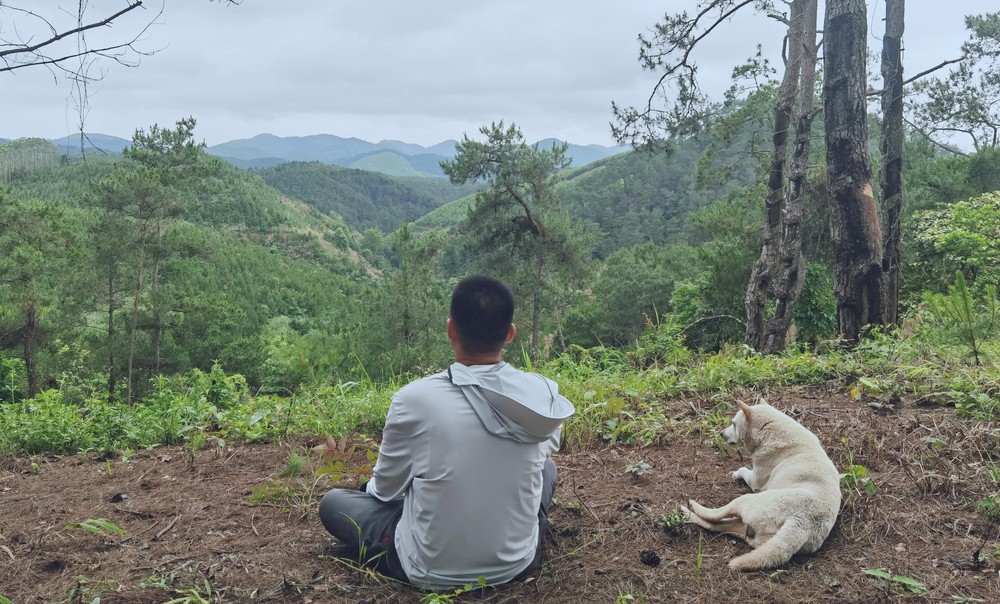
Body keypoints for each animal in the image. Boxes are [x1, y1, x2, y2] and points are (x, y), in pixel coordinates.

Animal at [684, 402, 840, 572]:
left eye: (733, 423)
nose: (721, 433)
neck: (771, 432)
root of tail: (802, 523)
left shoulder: (755, 481)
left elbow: (743, 470)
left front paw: (735, 473)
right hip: (751, 530)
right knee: (714, 525)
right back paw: (688, 513)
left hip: (747, 501)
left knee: (715, 514)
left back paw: (691, 506)